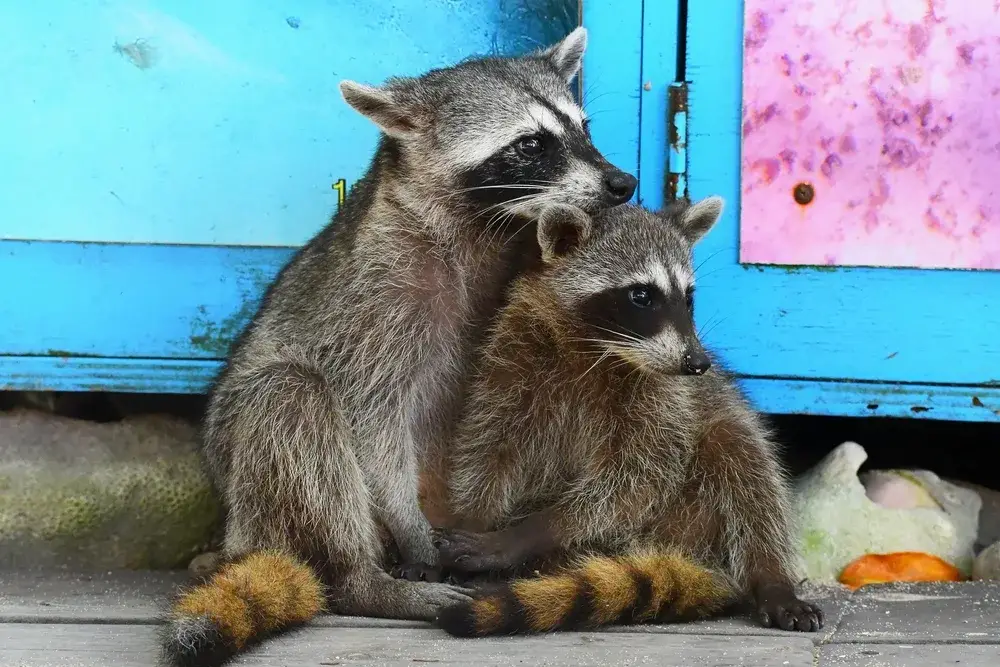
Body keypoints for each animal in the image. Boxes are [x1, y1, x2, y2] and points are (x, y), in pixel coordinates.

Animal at [159, 26, 636, 667]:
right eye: (531, 144)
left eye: (584, 128)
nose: (623, 184)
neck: (485, 227)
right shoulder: (378, 300)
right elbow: (370, 415)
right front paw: (409, 529)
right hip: (247, 475)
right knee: (291, 400)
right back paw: (364, 578)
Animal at [432, 202, 820, 636]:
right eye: (641, 295)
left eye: (689, 297)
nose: (697, 363)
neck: (596, 348)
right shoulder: (511, 359)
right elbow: (489, 449)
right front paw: (475, 517)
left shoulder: (666, 399)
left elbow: (636, 479)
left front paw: (527, 532)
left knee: (744, 460)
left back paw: (769, 576)